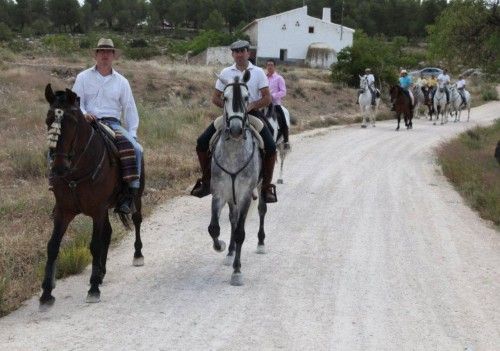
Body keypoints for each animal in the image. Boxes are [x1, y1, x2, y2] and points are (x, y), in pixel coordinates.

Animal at [40, 84, 145, 310]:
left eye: (72, 122)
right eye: (48, 119)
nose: (58, 167)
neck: (76, 172)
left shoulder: (97, 209)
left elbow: (95, 245)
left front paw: (93, 288)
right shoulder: (64, 211)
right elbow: (53, 246)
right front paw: (46, 294)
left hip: (136, 198)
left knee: (136, 220)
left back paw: (137, 255)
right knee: (108, 232)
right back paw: (101, 272)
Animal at [209, 71, 268, 286]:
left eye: (246, 97)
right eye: (225, 98)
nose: (235, 129)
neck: (234, 152)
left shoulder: (244, 195)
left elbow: (241, 233)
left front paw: (237, 271)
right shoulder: (219, 193)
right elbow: (214, 228)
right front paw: (221, 245)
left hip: (260, 187)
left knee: (261, 210)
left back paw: (260, 243)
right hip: (230, 196)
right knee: (233, 220)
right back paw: (229, 252)